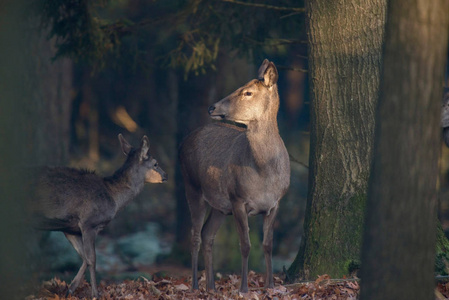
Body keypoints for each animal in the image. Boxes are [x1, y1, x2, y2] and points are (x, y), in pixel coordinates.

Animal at [178, 59, 290, 292]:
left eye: (247, 92)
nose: (212, 107)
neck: (265, 174)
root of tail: (182, 143)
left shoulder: (276, 202)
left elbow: (268, 245)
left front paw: (270, 285)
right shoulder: (238, 198)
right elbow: (245, 245)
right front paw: (244, 288)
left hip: (221, 206)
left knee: (207, 234)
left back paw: (211, 286)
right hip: (191, 185)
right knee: (195, 236)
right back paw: (194, 285)